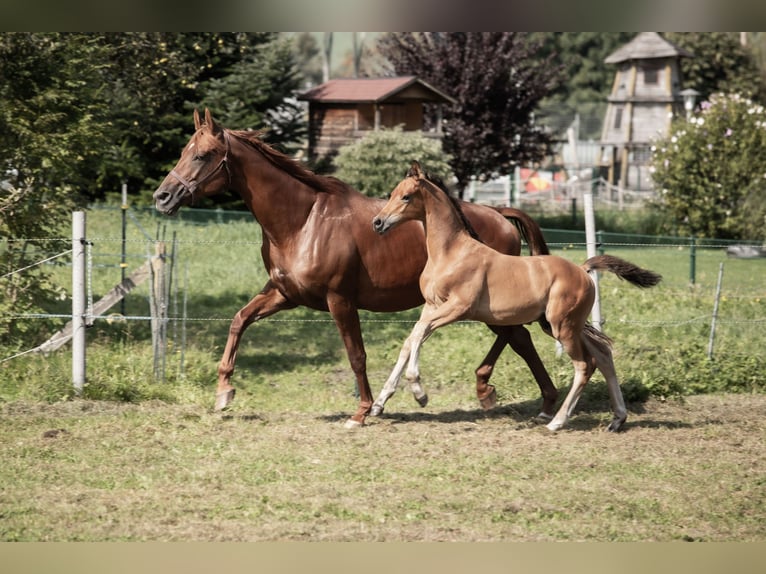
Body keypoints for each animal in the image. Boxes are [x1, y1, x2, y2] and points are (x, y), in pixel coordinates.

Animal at [153, 110, 560, 430]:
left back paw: (502, 392)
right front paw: (224, 392)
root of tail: (500, 213)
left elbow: (356, 354)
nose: (162, 197)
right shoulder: (284, 294)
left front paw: (363, 411)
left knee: (517, 337)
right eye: (184, 152)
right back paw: (532, 400)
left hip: (483, 304)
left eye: (203, 155)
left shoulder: (340, 300)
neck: (302, 222)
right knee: (519, 338)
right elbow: (239, 320)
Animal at [376, 162, 664, 432]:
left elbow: (419, 333)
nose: (377, 222)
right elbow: (411, 339)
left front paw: (419, 392)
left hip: (562, 327)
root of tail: (583, 270)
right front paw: (381, 402)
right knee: (603, 355)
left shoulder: (458, 307)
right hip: (563, 325)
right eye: (392, 194)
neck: (451, 253)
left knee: (584, 365)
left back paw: (556, 421)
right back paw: (617, 419)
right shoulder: (431, 306)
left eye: (406, 197)